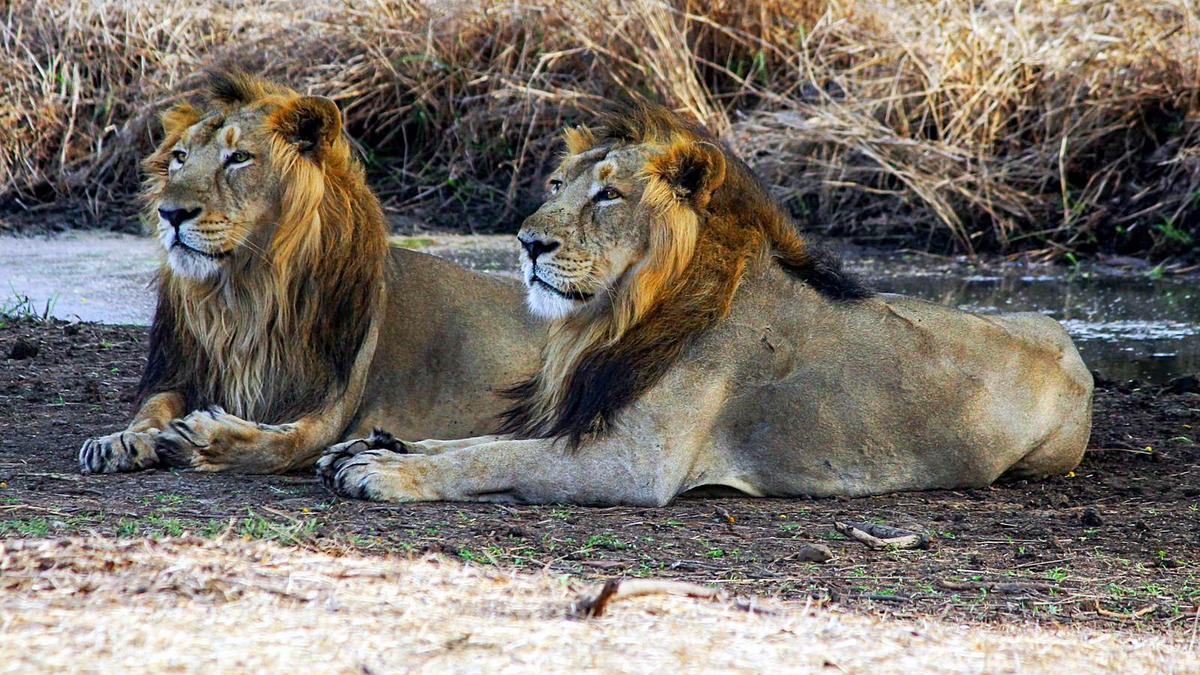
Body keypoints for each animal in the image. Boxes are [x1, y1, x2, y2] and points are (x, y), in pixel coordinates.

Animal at [78, 71, 540, 474]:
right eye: (180, 158)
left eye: (238, 158)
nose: (170, 213)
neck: (245, 292)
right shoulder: (182, 371)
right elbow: (153, 405)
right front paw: (122, 439)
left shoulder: (330, 407)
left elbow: (282, 443)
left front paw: (205, 438)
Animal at [316, 104, 1094, 506]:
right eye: (558, 183)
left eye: (609, 194)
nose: (528, 241)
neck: (613, 317)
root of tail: (1067, 338)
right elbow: (481, 441)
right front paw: (377, 445)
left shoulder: (635, 466)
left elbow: (494, 459)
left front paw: (390, 472)